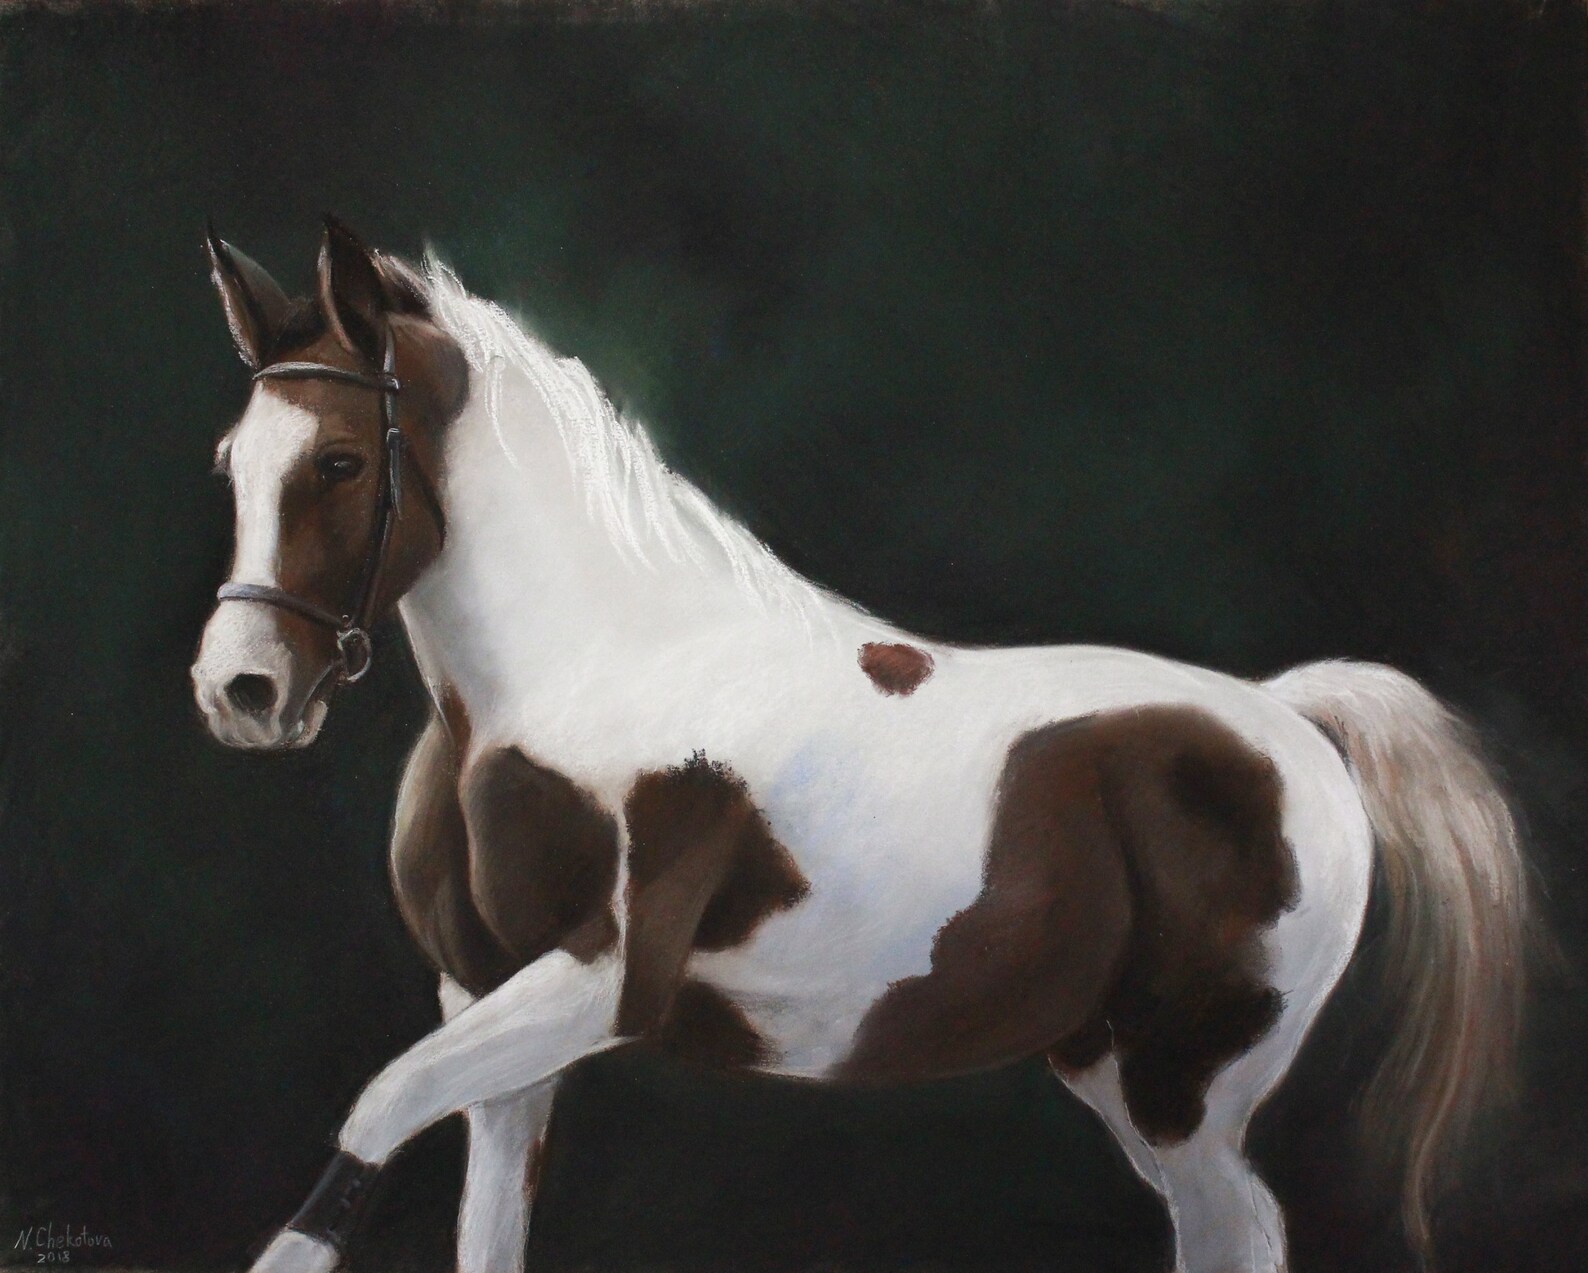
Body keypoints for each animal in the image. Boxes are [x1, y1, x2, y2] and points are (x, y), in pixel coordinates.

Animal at [190, 217, 1529, 1273]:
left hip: (1190, 1086)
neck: (591, 676)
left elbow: (373, 1109)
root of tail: (1287, 717)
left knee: (1240, 1230)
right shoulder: (488, 1011)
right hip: (1116, 1069)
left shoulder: (597, 983)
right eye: (228, 462)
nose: (242, 690)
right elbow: (479, 1221)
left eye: (341, 459)